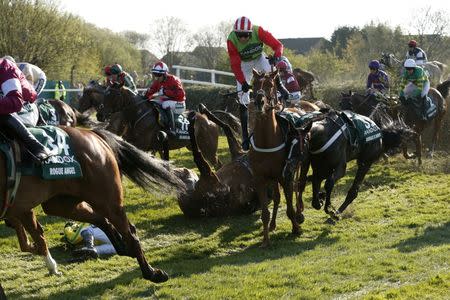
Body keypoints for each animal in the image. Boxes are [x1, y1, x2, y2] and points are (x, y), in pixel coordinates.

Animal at [2, 126, 185, 282]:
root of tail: (93, 133)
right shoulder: (19, 207)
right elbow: (32, 239)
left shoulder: (20, 208)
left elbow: (34, 237)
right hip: (62, 204)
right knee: (101, 220)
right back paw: (120, 248)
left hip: (107, 200)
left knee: (129, 233)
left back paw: (152, 273)